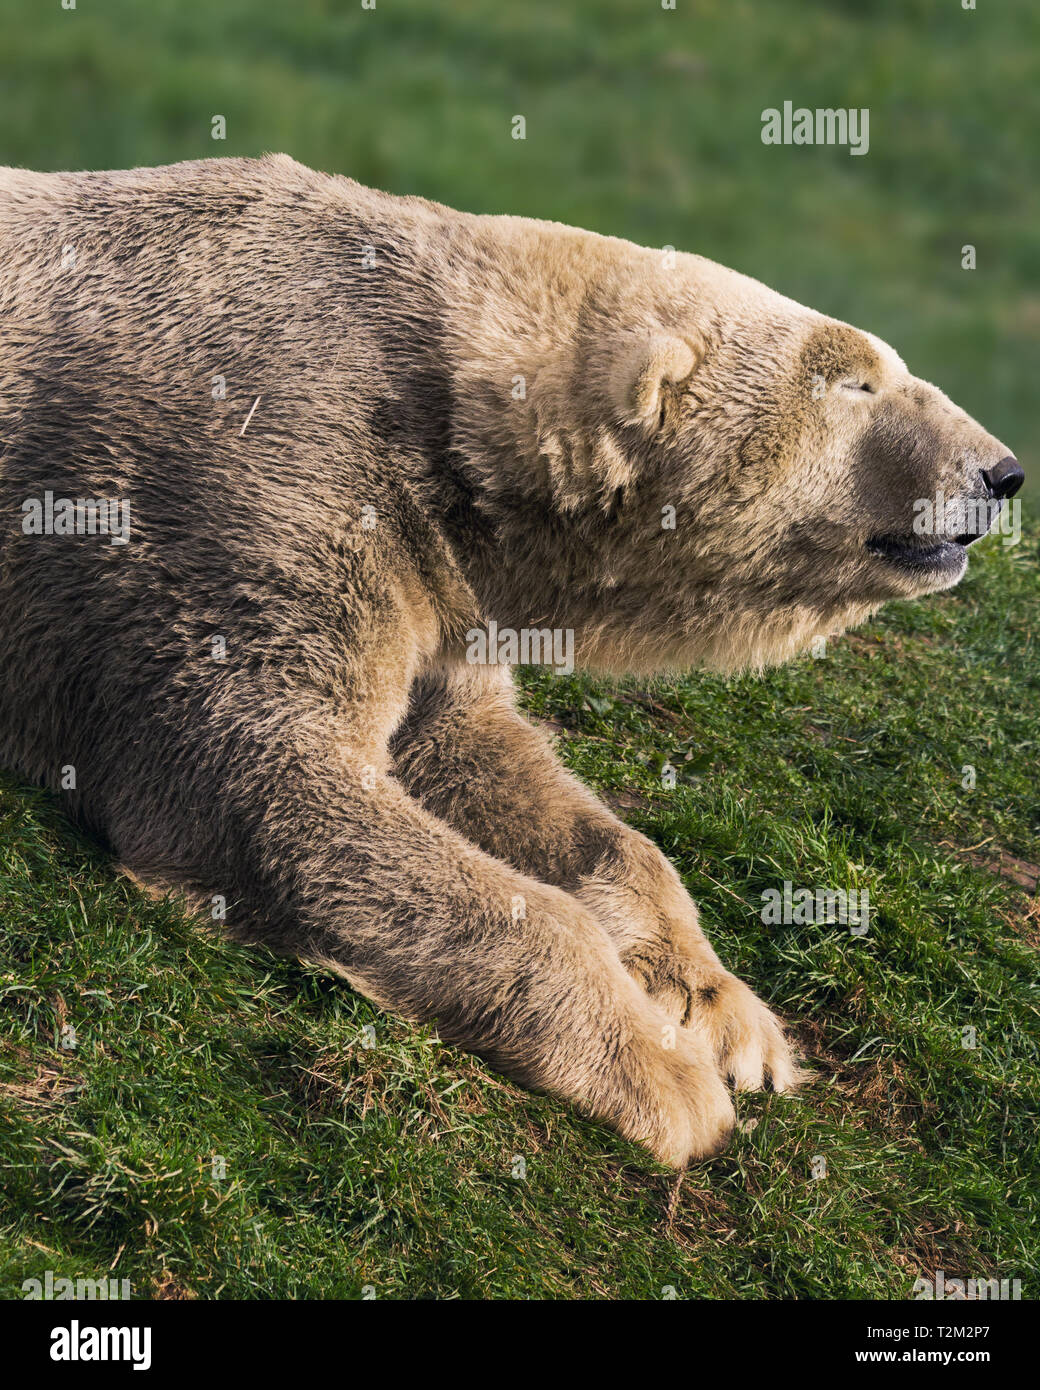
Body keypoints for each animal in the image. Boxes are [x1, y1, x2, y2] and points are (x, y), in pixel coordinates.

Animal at [0, 157, 1023, 1167]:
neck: (436, 402)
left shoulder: (439, 575)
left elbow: (482, 752)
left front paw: (729, 1018)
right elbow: (268, 774)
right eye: (856, 384)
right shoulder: (255, 467)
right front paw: (667, 1077)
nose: (1003, 473)